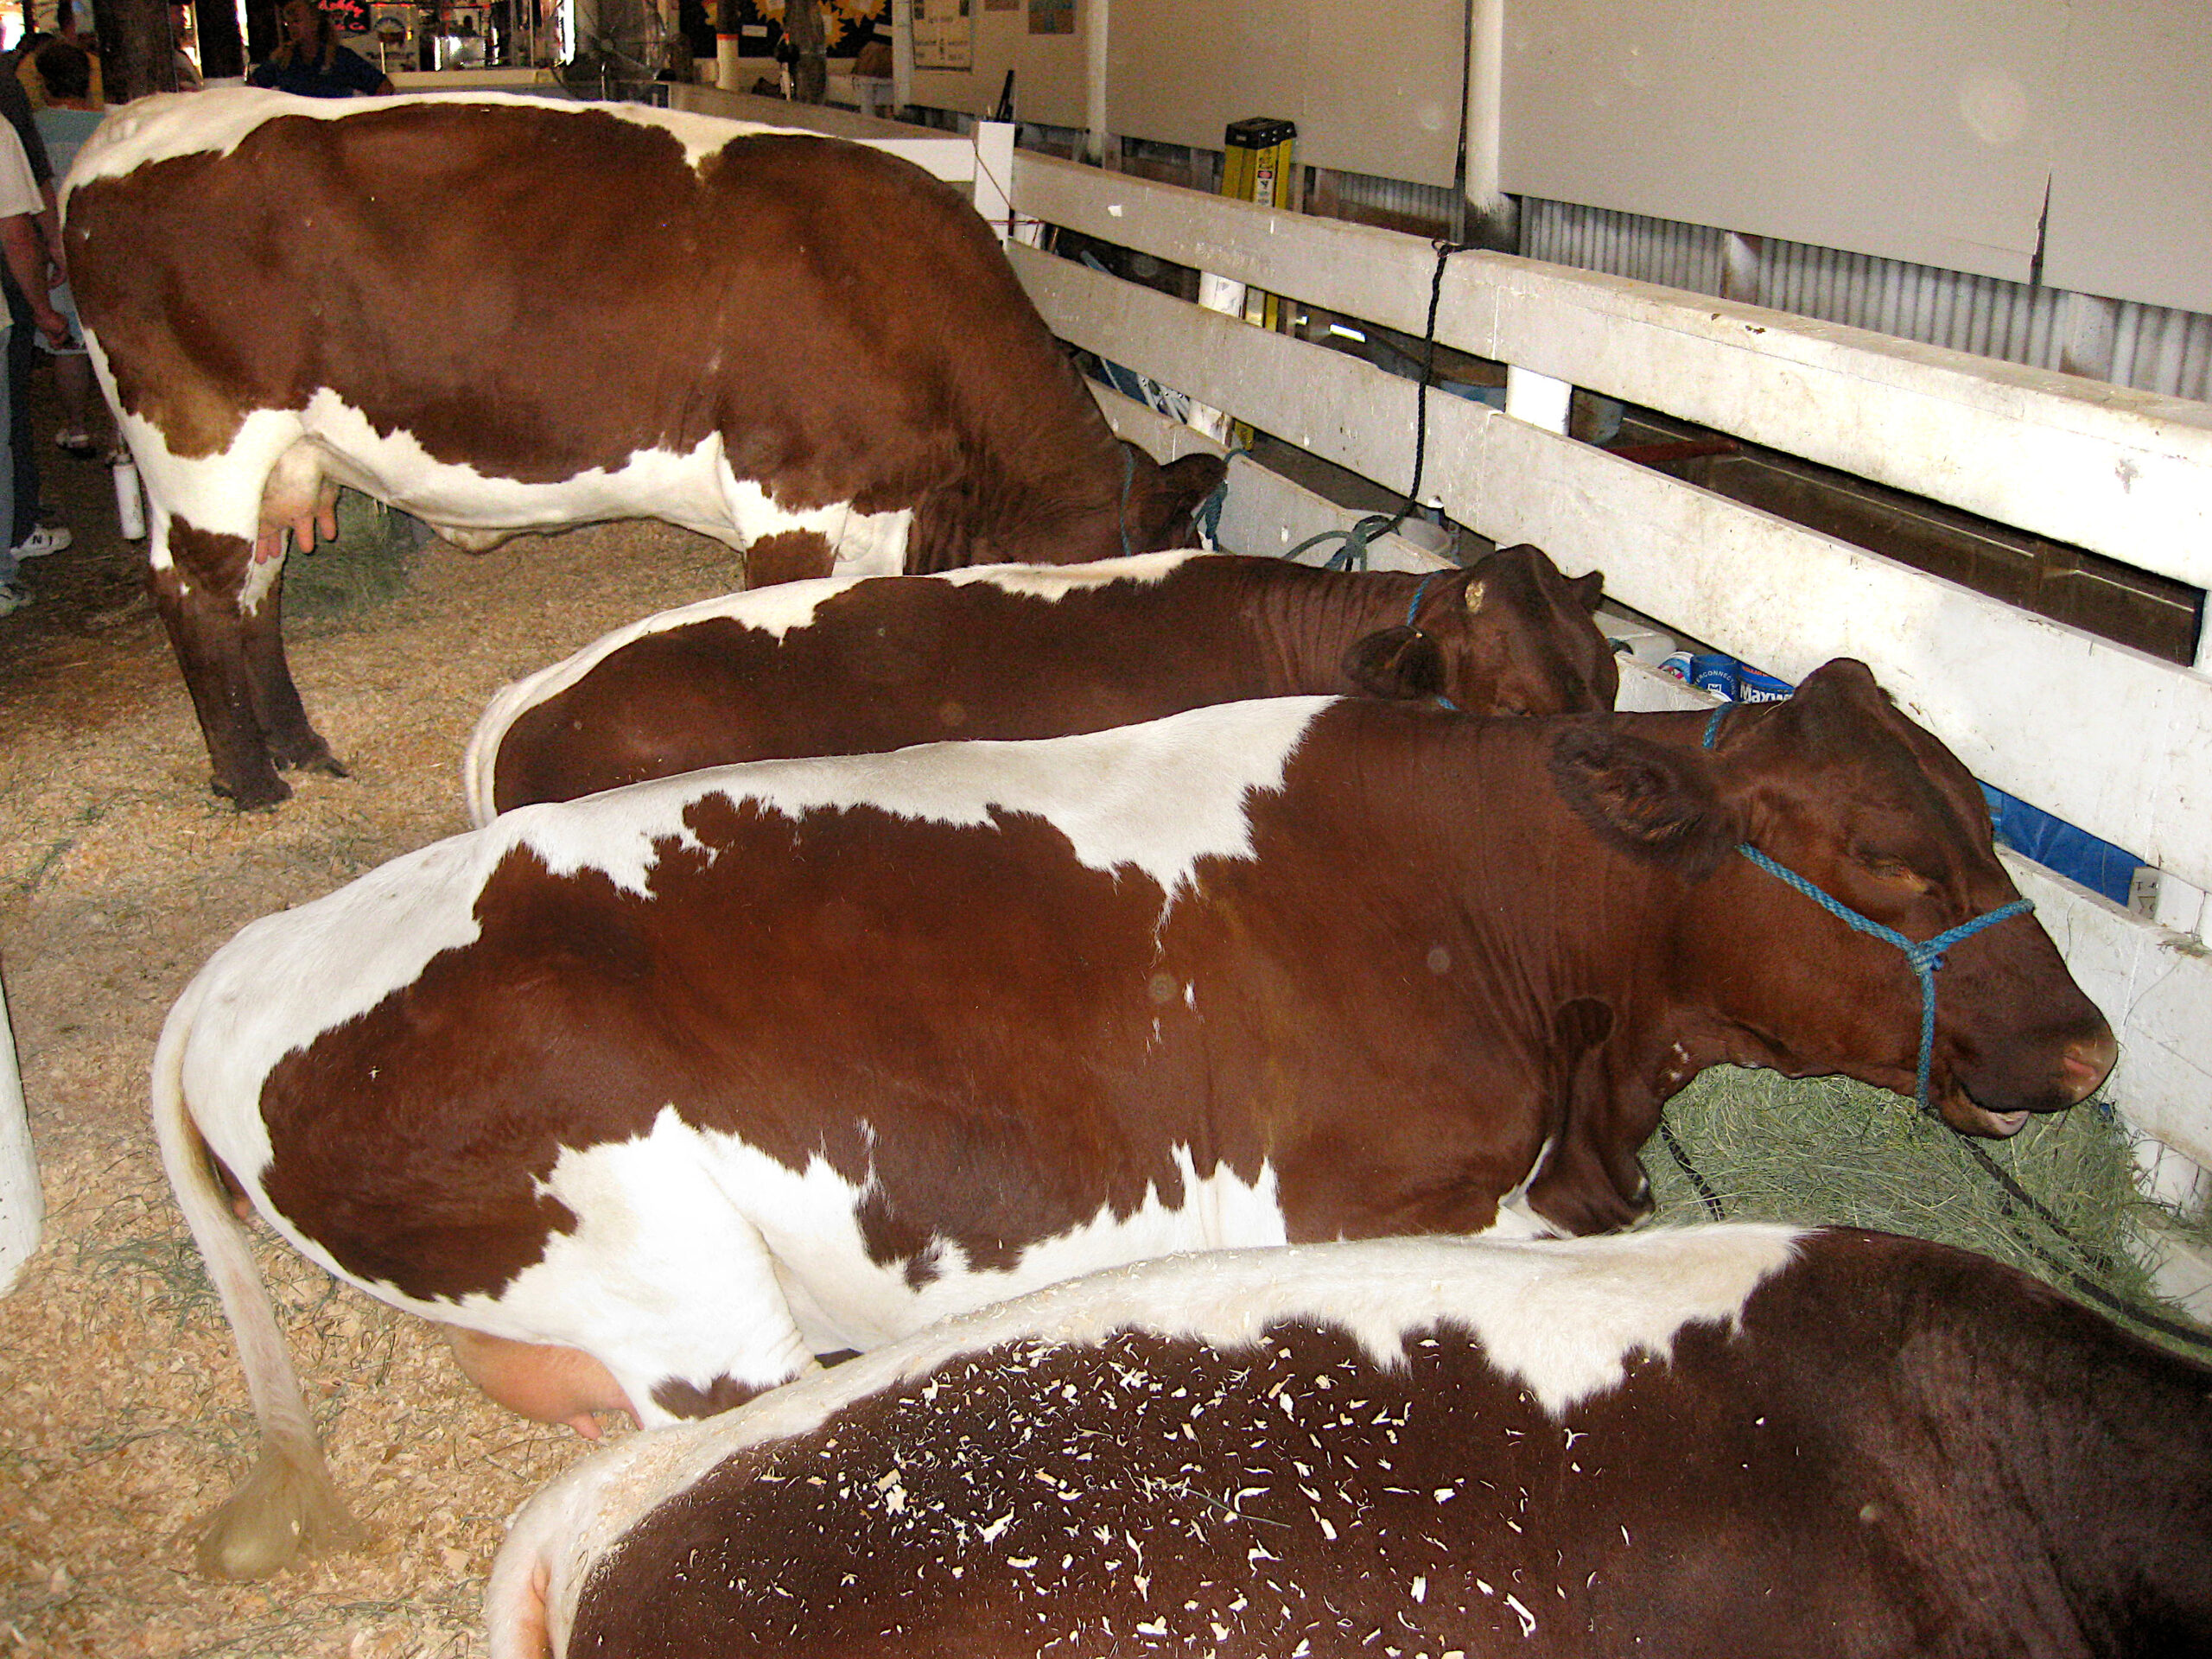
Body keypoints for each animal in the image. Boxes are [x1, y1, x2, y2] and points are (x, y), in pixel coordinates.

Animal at [63, 88, 1225, 809]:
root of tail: (134, 123)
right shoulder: (790, 495)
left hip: (282, 461)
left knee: (258, 591)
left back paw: (300, 746)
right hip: (196, 444)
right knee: (193, 591)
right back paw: (250, 780)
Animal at [151, 660, 2114, 1579]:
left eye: (1981, 817)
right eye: (1890, 856)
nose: (2093, 1050)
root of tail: (258, 951)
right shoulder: (1368, 1208)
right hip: (684, 1296)